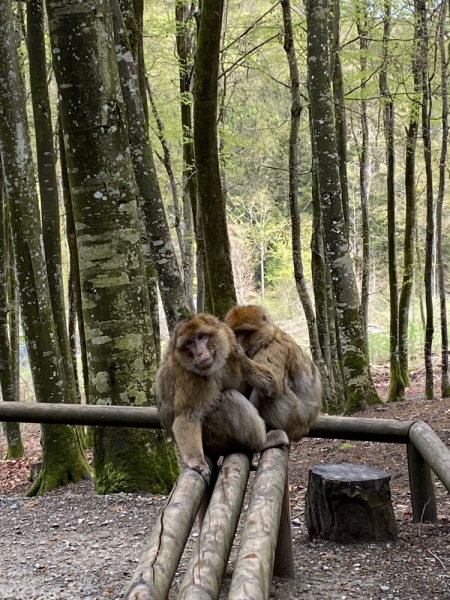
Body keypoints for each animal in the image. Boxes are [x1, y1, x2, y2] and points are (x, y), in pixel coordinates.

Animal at [156, 312, 288, 486]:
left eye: (201, 337)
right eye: (189, 343)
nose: (199, 353)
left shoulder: (230, 353)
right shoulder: (189, 376)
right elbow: (187, 416)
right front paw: (198, 463)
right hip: (213, 439)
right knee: (227, 398)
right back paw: (261, 442)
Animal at [227, 304, 322, 440]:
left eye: (242, 332)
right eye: (234, 332)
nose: (235, 339)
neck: (265, 338)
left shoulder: (273, 346)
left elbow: (273, 382)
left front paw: (239, 355)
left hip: (296, 417)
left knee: (271, 392)